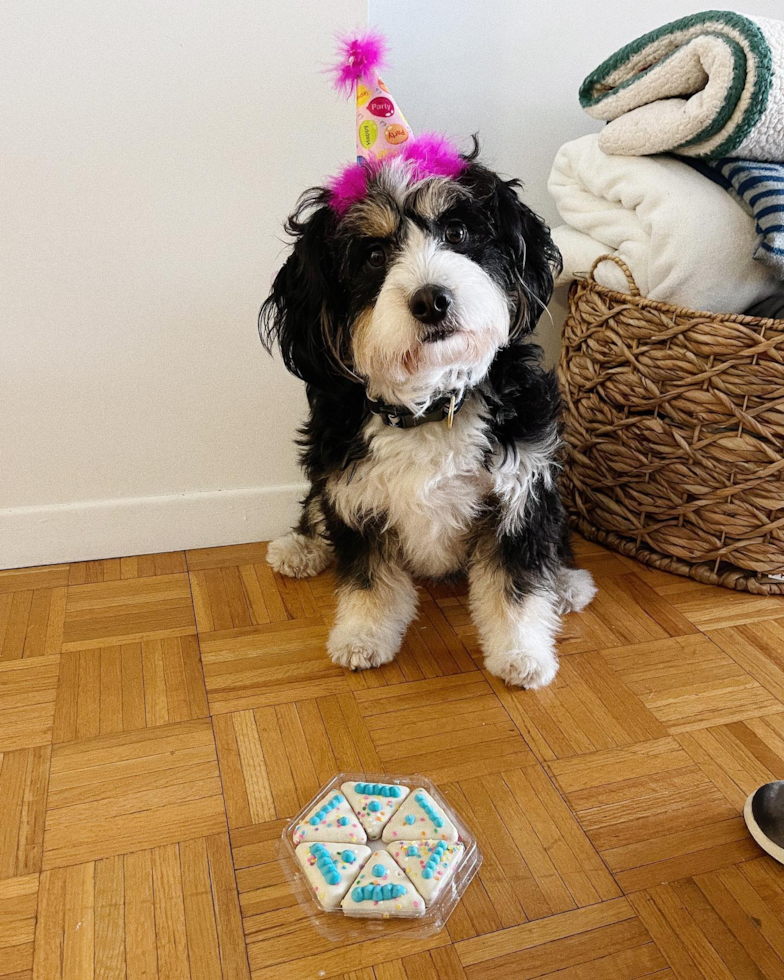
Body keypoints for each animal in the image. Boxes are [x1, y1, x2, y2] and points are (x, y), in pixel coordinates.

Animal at [258, 144, 596, 688]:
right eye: (374, 256)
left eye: (456, 232)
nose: (432, 300)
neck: (431, 408)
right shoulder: (352, 492)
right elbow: (368, 582)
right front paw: (363, 636)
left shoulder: (520, 489)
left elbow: (516, 586)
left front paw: (522, 653)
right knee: (314, 508)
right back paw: (300, 547)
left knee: (553, 540)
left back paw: (565, 582)